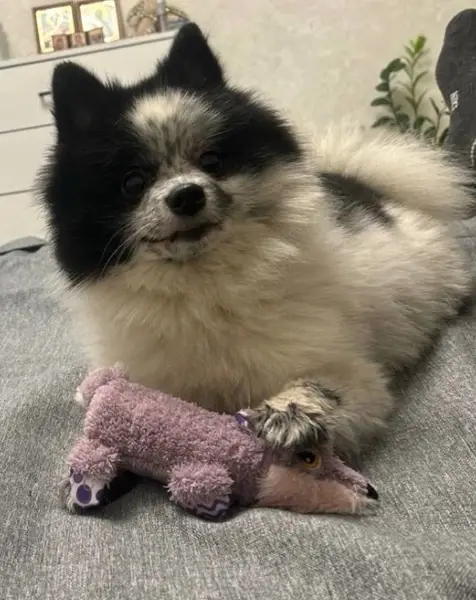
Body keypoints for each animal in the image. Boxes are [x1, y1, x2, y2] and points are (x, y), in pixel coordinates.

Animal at [39, 23, 474, 457]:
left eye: (212, 162)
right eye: (133, 183)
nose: (187, 195)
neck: (201, 286)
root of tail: (363, 184)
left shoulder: (350, 371)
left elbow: (328, 385)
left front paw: (288, 413)